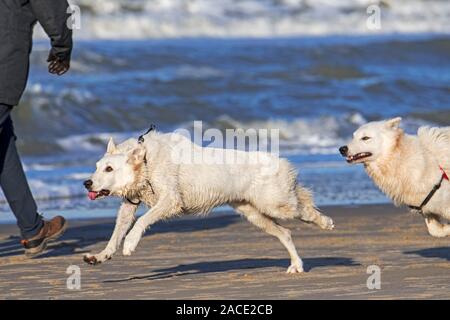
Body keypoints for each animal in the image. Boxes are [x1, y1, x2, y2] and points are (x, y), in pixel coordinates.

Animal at [81, 129, 334, 272]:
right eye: (97, 167)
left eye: (109, 168)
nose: (87, 183)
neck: (146, 162)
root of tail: (280, 161)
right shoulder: (129, 205)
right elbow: (116, 234)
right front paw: (101, 256)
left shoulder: (171, 200)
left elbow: (142, 222)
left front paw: (131, 243)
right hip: (253, 213)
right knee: (286, 233)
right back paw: (296, 265)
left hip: (275, 204)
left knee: (304, 207)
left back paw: (325, 222)